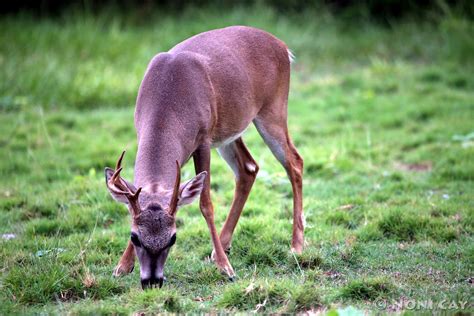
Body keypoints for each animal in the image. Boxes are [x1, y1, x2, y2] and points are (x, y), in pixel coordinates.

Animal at [104, 26, 304, 288]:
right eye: (135, 237)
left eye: (173, 238)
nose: (152, 281)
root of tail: (283, 46)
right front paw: (122, 266)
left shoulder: (203, 140)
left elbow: (205, 203)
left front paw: (225, 268)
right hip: (229, 130)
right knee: (249, 167)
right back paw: (224, 243)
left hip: (273, 110)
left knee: (295, 162)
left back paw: (296, 245)